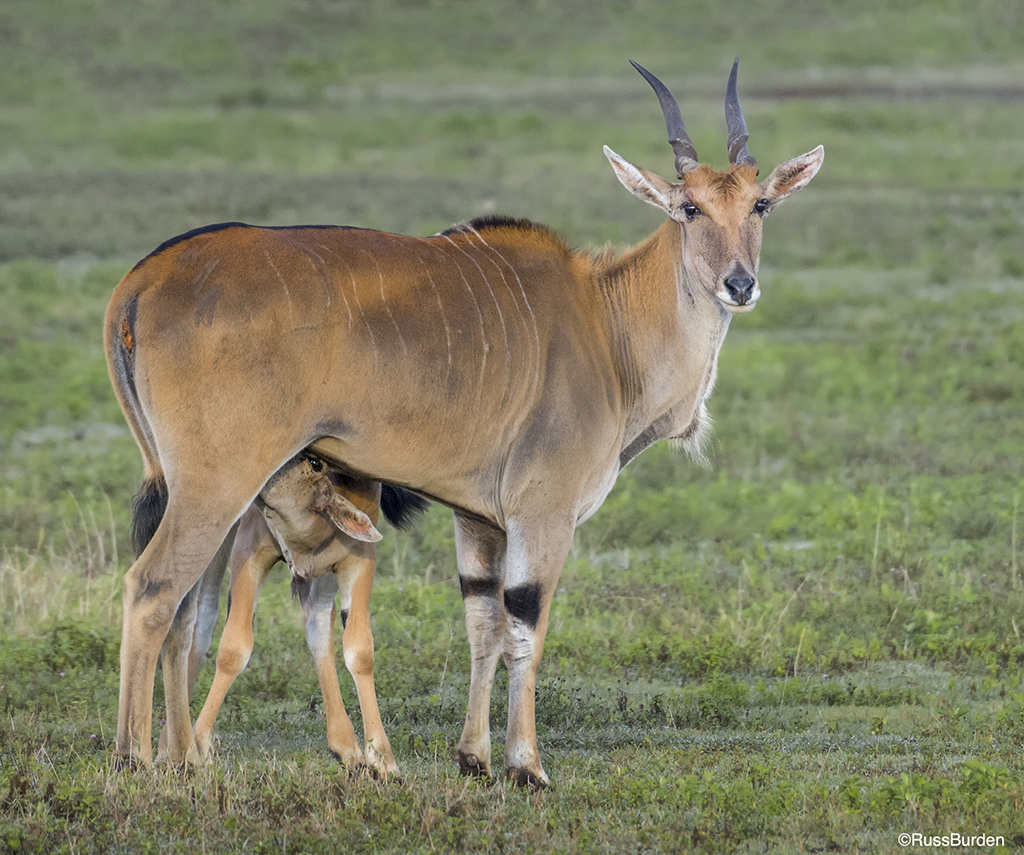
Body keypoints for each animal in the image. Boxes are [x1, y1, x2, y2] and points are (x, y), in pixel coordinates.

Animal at [105, 56, 823, 786]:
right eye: (690, 207)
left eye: (759, 204)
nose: (739, 283)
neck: (605, 319)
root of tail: (145, 279)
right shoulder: (543, 512)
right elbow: (525, 622)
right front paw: (526, 764)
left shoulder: (478, 519)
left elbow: (483, 619)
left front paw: (473, 755)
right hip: (215, 487)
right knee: (152, 589)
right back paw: (134, 757)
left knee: (191, 613)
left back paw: (183, 756)